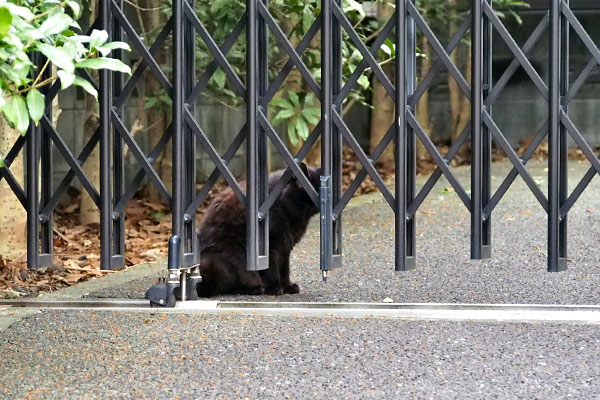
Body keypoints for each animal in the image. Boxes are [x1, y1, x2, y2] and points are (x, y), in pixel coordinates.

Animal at [195, 163, 322, 296]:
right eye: (317, 191)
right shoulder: (271, 246)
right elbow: (272, 269)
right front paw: (275, 289)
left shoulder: (286, 246)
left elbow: (285, 269)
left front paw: (287, 286)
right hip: (226, 259)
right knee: (223, 288)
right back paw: (256, 288)